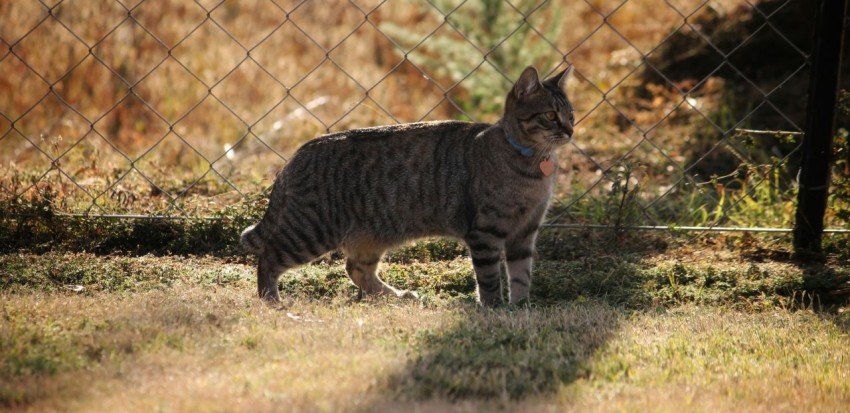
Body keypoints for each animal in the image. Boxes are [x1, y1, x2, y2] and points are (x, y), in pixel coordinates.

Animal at [237, 65, 576, 306]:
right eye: (550, 115)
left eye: (571, 114)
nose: (571, 131)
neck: (532, 166)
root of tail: (296, 154)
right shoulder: (485, 231)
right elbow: (491, 278)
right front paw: (495, 308)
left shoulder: (525, 231)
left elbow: (521, 275)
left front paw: (521, 308)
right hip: (311, 230)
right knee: (268, 256)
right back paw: (271, 300)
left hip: (370, 235)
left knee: (356, 268)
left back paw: (395, 296)